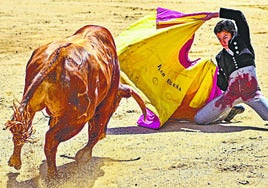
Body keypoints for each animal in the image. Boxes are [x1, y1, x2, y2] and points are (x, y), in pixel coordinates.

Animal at [4, 25, 147, 178]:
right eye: (116, 103)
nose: (105, 133)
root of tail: (59, 55)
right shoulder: (106, 106)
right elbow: (95, 131)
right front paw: (84, 155)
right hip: (77, 118)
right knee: (51, 138)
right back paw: (53, 175)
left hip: (30, 104)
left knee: (21, 125)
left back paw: (16, 161)